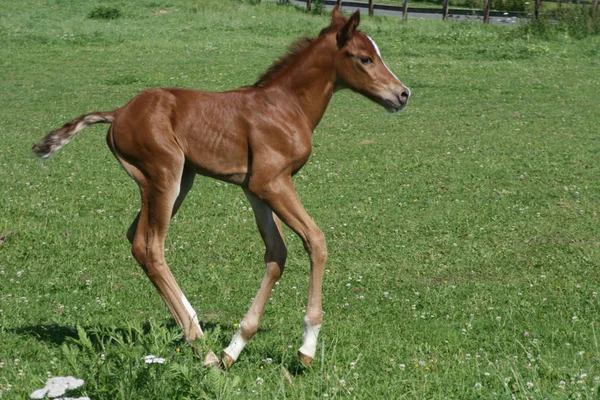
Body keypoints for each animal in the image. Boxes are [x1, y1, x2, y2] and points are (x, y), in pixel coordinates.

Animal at [31, 7, 408, 368]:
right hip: (163, 174)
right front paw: (306, 348)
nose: (403, 94)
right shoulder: (272, 181)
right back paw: (203, 348)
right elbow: (316, 240)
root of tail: (119, 112)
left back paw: (197, 331)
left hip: (180, 179)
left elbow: (277, 253)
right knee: (150, 248)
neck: (287, 106)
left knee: (136, 239)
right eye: (365, 58)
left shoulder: (254, 188)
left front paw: (235, 347)